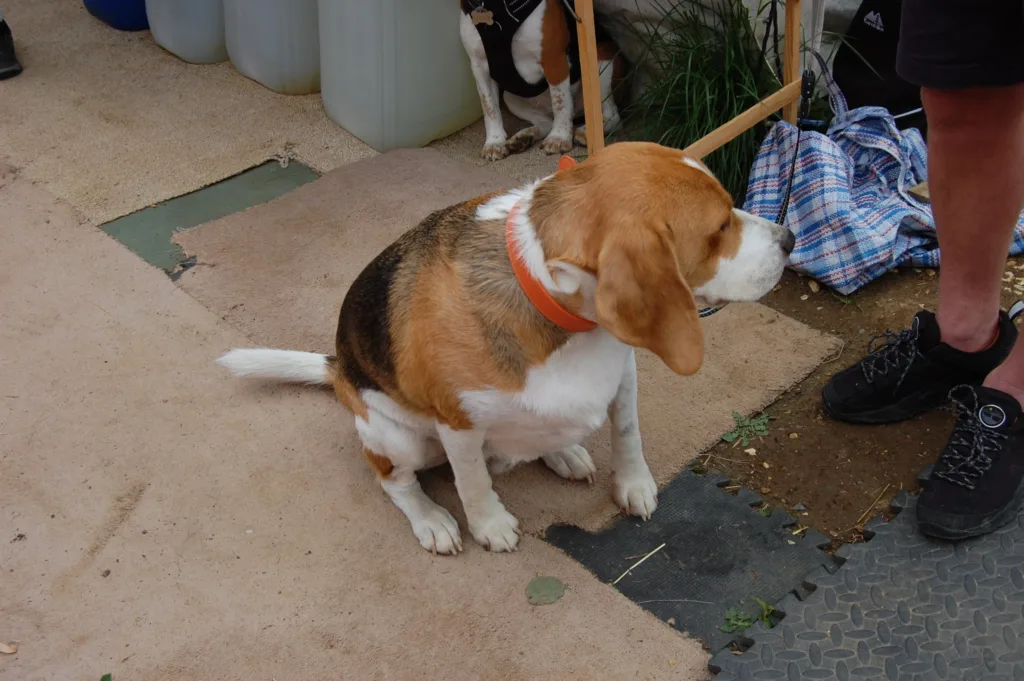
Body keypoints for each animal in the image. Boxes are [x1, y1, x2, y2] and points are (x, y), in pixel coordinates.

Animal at [214, 142, 790, 552]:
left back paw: (563, 451)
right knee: (393, 480)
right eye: (720, 227)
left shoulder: (623, 371)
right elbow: (470, 480)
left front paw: (633, 485)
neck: (555, 307)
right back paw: (432, 519)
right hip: (396, 439)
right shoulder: (458, 421)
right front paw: (488, 526)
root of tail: (338, 368)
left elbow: (628, 433)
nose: (788, 240)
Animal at [462, 0, 626, 160]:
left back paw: (586, 131)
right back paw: (524, 138)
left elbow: (560, 102)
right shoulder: (479, 66)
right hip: (510, 98)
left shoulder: (553, 61)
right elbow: (489, 107)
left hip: (600, 65)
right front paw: (494, 142)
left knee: (613, 115)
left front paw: (559, 138)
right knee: (546, 123)